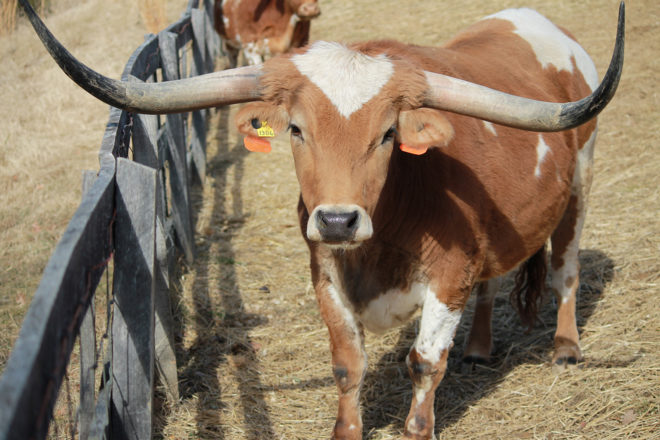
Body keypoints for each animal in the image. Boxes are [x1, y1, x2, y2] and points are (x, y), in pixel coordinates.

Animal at [19, 0, 624, 436]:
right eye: (295, 129)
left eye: (388, 134)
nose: (337, 221)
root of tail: (537, 21)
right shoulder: (326, 276)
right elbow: (347, 365)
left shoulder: (448, 277)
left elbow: (425, 363)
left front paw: (420, 423)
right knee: (493, 282)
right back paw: (478, 347)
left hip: (583, 180)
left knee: (566, 267)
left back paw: (565, 347)